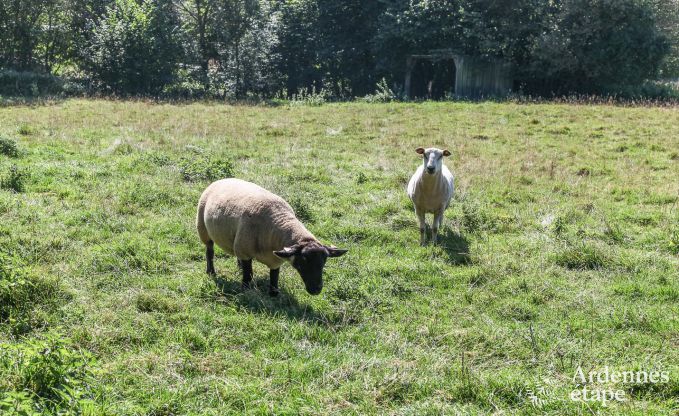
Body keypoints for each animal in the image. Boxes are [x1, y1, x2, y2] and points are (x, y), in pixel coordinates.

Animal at [195, 178, 346, 296]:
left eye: (324, 262)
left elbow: (274, 277)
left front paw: (274, 294)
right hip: (203, 229)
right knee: (209, 252)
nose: (316, 290)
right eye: (302, 262)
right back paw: (211, 272)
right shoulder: (245, 251)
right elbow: (248, 275)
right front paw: (246, 290)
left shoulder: (275, 259)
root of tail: (223, 179)